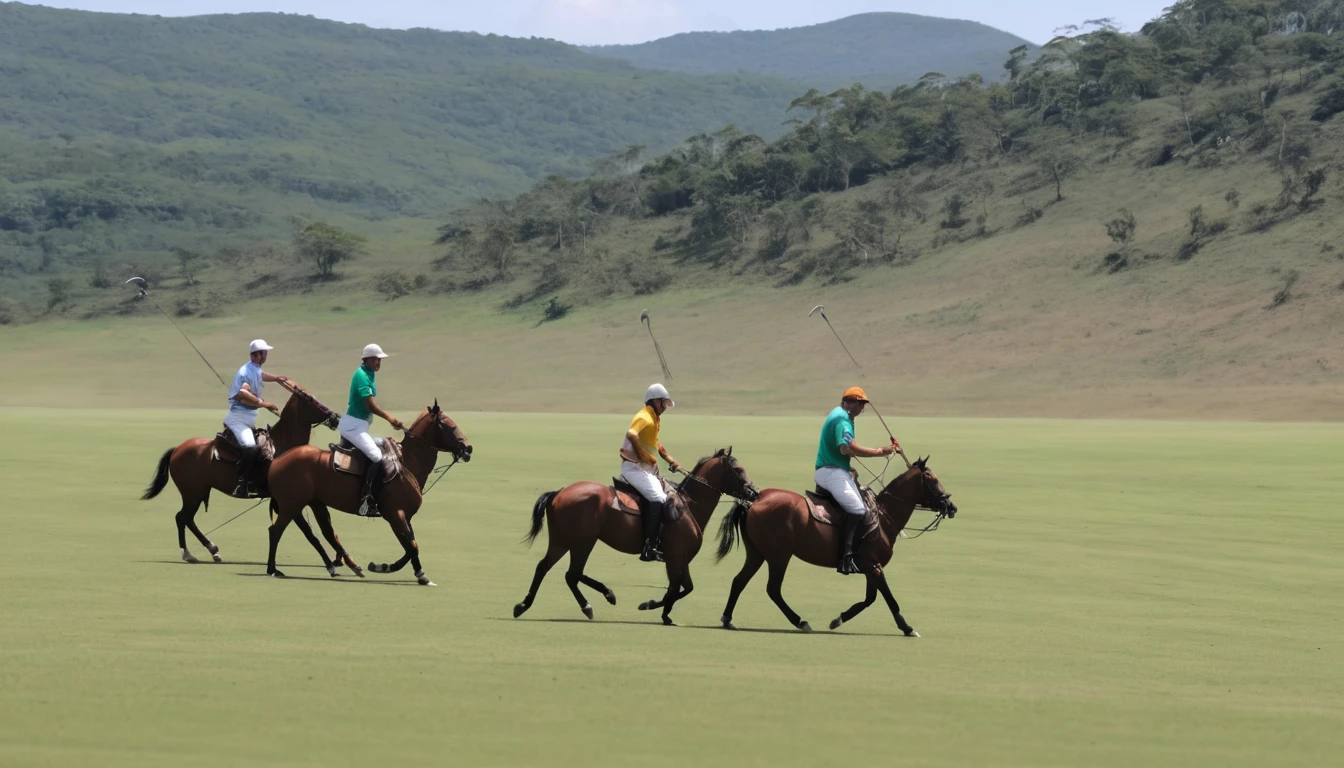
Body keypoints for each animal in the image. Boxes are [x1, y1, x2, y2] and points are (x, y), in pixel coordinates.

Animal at [140, 384, 341, 564]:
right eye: (311, 399)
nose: (335, 418)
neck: (282, 445)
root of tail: (177, 449)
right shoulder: (285, 500)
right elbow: (308, 529)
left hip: (200, 490)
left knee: (187, 518)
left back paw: (212, 550)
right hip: (192, 492)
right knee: (182, 518)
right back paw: (189, 553)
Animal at [263, 400, 473, 586]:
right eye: (449, 426)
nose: (468, 448)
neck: (408, 463)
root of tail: (276, 461)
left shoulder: (402, 516)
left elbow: (410, 545)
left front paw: (417, 573)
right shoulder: (395, 514)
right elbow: (412, 545)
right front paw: (385, 567)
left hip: (313, 503)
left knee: (326, 533)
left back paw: (344, 566)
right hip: (291, 505)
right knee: (276, 531)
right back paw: (273, 568)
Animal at [510, 451, 763, 624]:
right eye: (738, 470)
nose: (755, 492)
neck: (689, 505)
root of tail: (559, 492)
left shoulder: (680, 558)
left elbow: (685, 587)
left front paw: (662, 612)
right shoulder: (675, 557)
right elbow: (675, 588)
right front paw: (654, 608)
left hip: (563, 540)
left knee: (547, 568)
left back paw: (525, 604)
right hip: (583, 542)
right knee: (572, 573)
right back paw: (598, 599)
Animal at [715, 457, 956, 637]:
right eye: (934, 480)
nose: (952, 506)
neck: (884, 517)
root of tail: (753, 501)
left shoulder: (872, 568)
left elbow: (870, 599)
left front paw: (838, 619)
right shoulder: (873, 565)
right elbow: (888, 598)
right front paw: (907, 627)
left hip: (757, 553)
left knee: (739, 581)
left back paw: (727, 619)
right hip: (779, 555)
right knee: (773, 589)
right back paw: (801, 622)